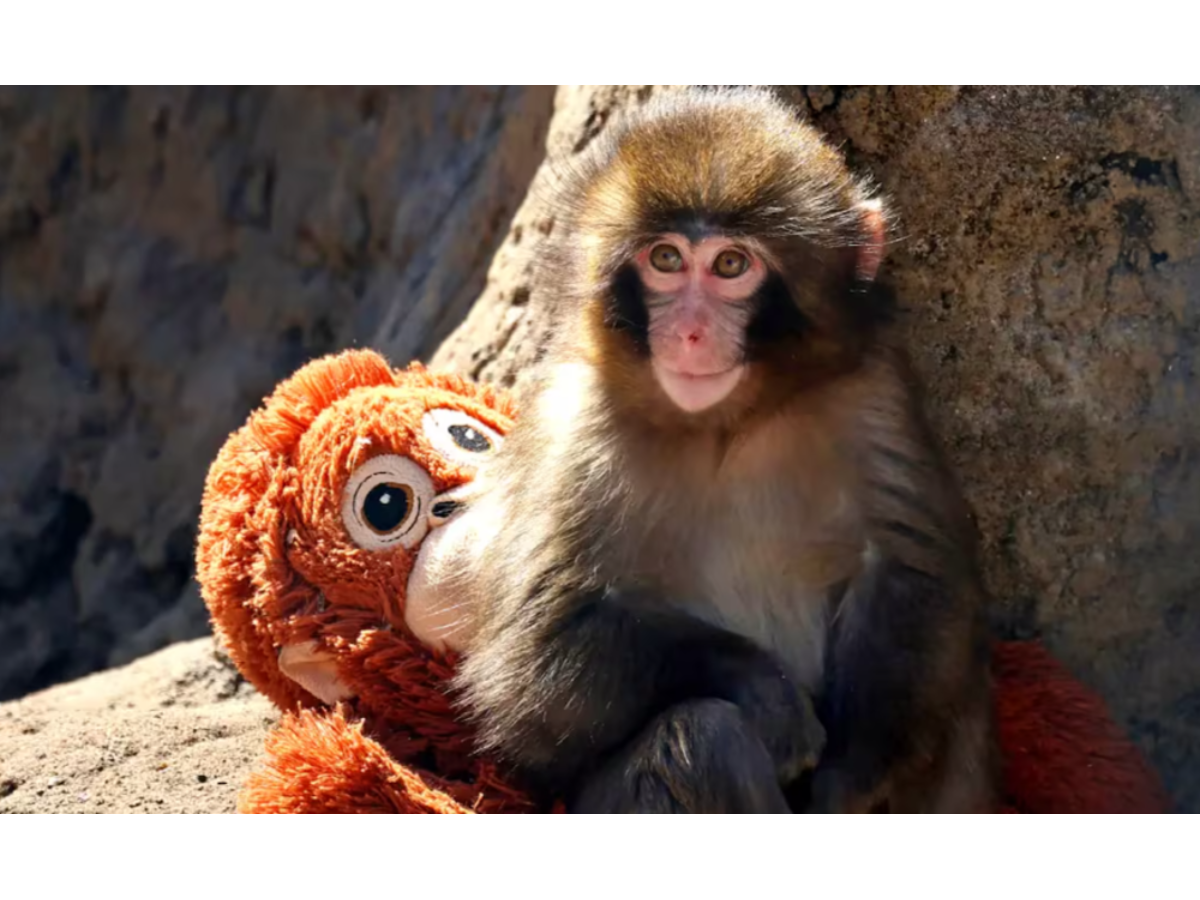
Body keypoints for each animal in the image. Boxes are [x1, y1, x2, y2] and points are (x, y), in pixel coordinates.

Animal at [450, 86, 999, 813]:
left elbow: (913, 574)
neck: (725, 426)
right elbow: (533, 663)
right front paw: (764, 691)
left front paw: (849, 782)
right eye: (666, 260)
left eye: (731, 266)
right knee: (703, 735)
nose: (687, 332)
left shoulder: (872, 392)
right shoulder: (573, 428)